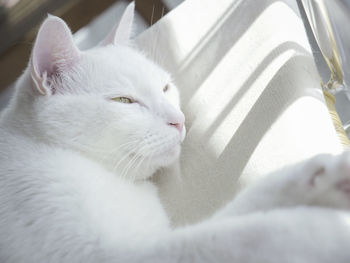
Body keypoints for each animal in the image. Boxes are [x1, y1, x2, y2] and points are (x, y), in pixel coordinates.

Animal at [2, 2, 350, 263]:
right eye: (124, 101)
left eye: (166, 88)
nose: (179, 120)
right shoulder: (114, 254)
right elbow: (245, 235)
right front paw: (327, 231)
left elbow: (242, 209)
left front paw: (323, 178)